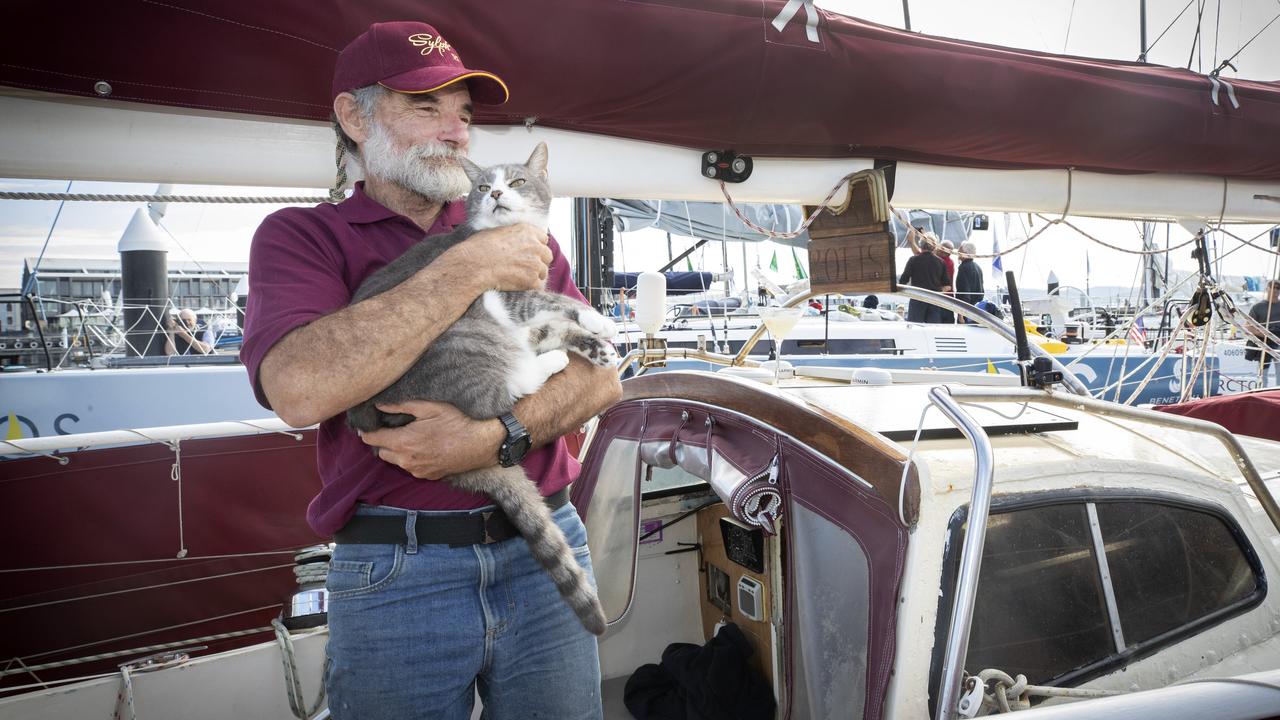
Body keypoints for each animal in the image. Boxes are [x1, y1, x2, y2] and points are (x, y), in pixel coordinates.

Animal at [345, 141, 614, 632]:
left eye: (518, 181)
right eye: (484, 186)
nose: (497, 194)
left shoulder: (524, 302)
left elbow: (554, 316)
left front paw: (596, 341)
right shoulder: (504, 290)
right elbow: (554, 300)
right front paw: (598, 319)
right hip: (466, 332)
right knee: (498, 391)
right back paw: (549, 362)